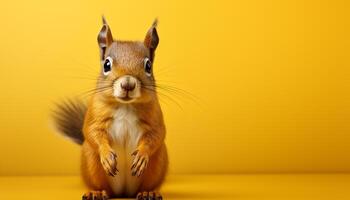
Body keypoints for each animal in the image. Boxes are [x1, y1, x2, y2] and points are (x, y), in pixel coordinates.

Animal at [52, 16, 169, 199]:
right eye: (106, 64)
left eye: (148, 66)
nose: (127, 84)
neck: (125, 106)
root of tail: (124, 192)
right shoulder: (95, 114)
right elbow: (92, 131)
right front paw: (106, 155)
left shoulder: (155, 116)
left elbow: (157, 134)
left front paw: (142, 155)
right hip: (91, 162)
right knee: (102, 185)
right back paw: (98, 192)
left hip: (158, 163)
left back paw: (148, 192)